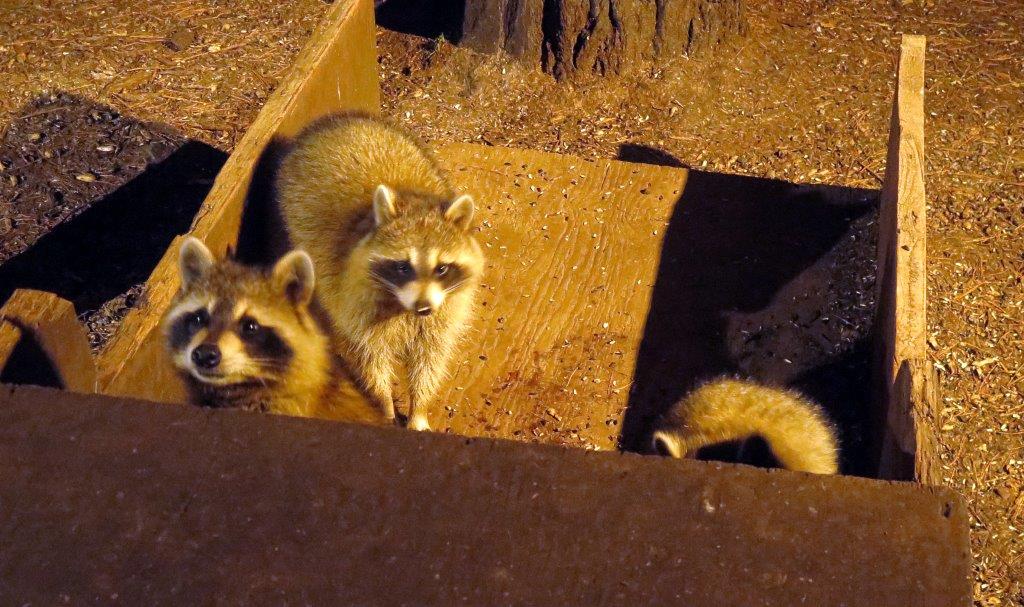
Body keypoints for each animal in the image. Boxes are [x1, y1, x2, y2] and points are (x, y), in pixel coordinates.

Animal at [276, 112, 484, 430]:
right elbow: (371, 361)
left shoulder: (444, 316)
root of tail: (334, 120)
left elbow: (430, 362)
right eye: (402, 266)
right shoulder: (355, 306)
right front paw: (384, 405)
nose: (423, 307)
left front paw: (419, 408)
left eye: (442, 268)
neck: (404, 308)